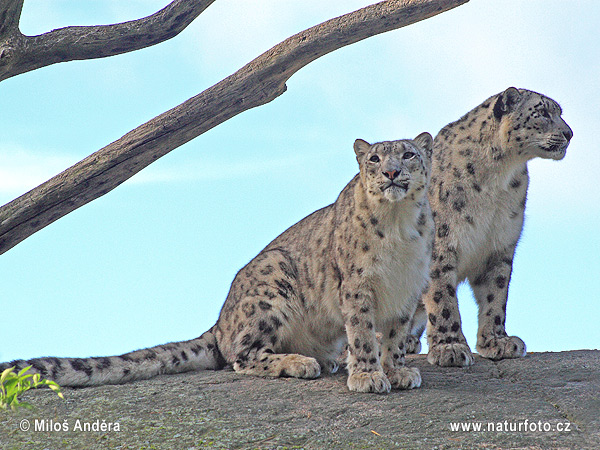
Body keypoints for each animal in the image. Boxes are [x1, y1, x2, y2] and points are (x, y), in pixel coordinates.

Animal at [3, 134, 436, 394]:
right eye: (375, 157)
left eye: (409, 154)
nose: (392, 172)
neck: (398, 229)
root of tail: (220, 321)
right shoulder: (357, 285)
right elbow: (362, 332)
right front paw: (367, 375)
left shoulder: (408, 289)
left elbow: (395, 336)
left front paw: (397, 371)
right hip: (272, 285)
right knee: (241, 356)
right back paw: (301, 362)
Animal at [408, 87, 572, 366]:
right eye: (542, 112)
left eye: (559, 112)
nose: (569, 133)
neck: (498, 177)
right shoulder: (442, 243)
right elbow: (442, 297)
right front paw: (450, 347)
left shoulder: (500, 244)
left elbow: (496, 295)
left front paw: (498, 341)